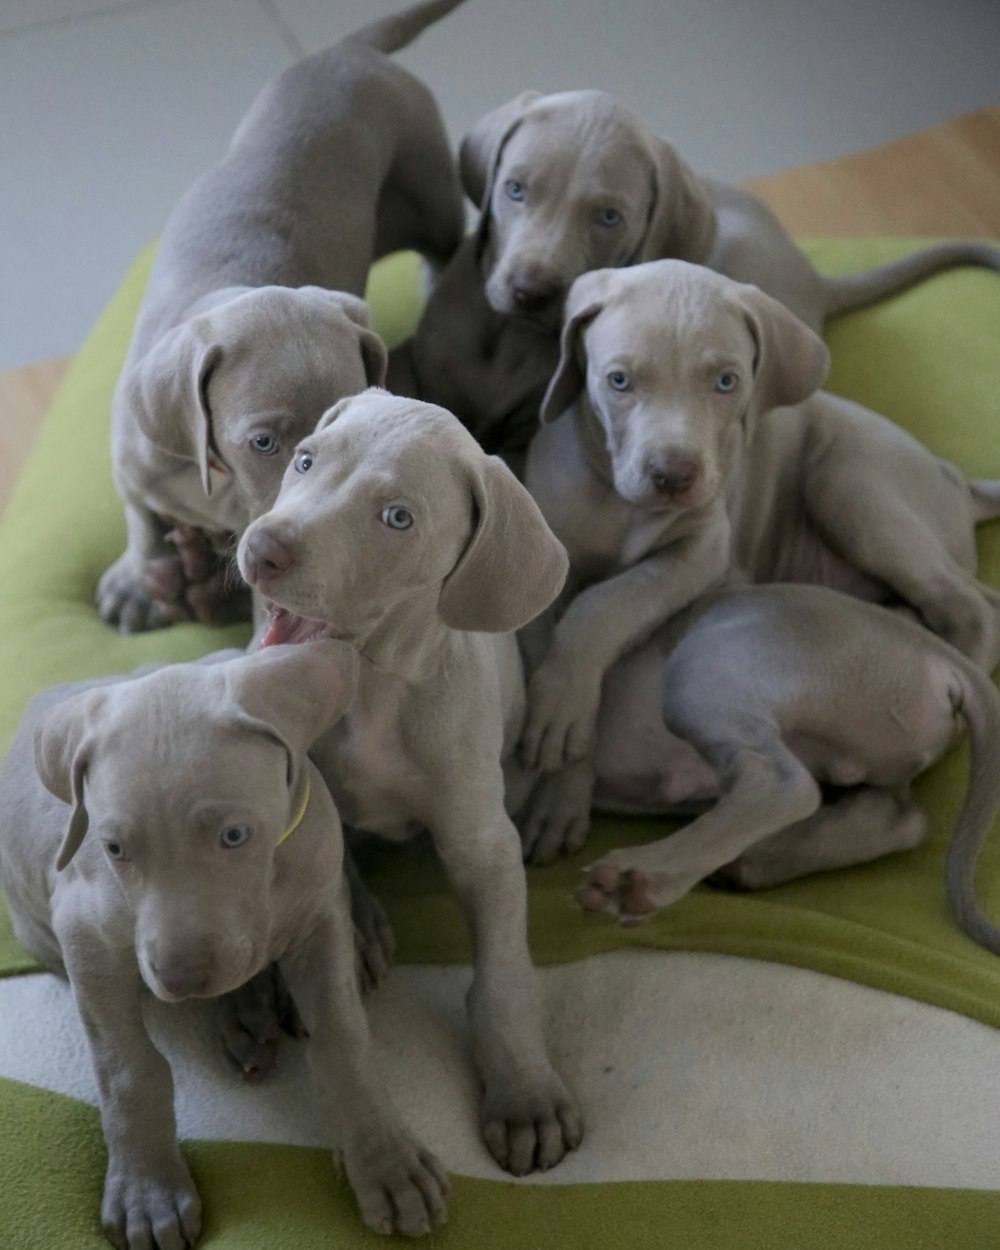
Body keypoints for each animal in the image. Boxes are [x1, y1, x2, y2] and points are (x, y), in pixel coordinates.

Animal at [0, 640, 450, 1245]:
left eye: (235, 835)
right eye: (115, 849)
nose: (180, 980)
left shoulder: (319, 917)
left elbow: (345, 1038)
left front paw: (387, 1162)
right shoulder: (86, 936)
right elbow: (128, 1068)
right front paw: (148, 1193)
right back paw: (248, 1013)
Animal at [99, 0, 467, 635]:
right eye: (265, 443)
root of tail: (346, 49)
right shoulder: (135, 458)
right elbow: (141, 517)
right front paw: (137, 583)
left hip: (425, 180)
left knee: (449, 237)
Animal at [237, 392, 582, 1180]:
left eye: (398, 518)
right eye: (304, 460)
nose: (262, 549)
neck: (370, 690)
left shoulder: (482, 841)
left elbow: (503, 972)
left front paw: (524, 1094)